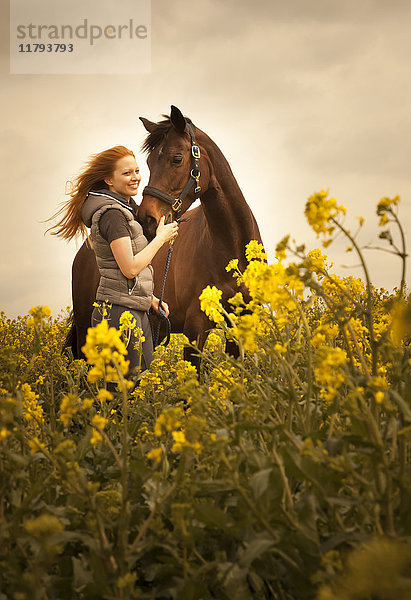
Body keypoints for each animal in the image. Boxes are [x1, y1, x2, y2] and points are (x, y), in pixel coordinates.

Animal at [67, 105, 260, 364]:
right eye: (148, 163)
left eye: (176, 159)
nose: (147, 218)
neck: (230, 246)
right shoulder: (195, 325)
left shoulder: (239, 324)